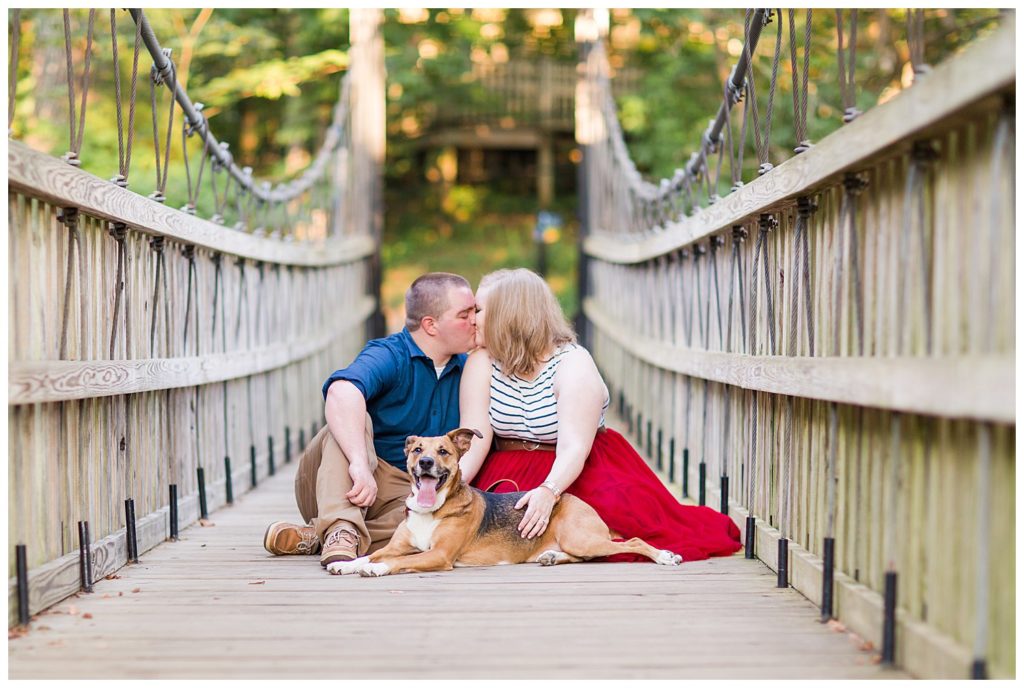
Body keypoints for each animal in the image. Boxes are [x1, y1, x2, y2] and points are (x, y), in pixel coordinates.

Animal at [327, 427, 679, 577]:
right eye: (416, 450)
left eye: (443, 451)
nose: (425, 462)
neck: (433, 509)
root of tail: (575, 500)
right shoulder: (398, 545)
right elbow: (371, 554)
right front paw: (346, 563)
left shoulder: (439, 555)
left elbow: (395, 562)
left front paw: (377, 568)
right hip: (577, 542)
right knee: (584, 556)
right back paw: (551, 557)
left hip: (582, 537)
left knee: (632, 541)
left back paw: (665, 556)